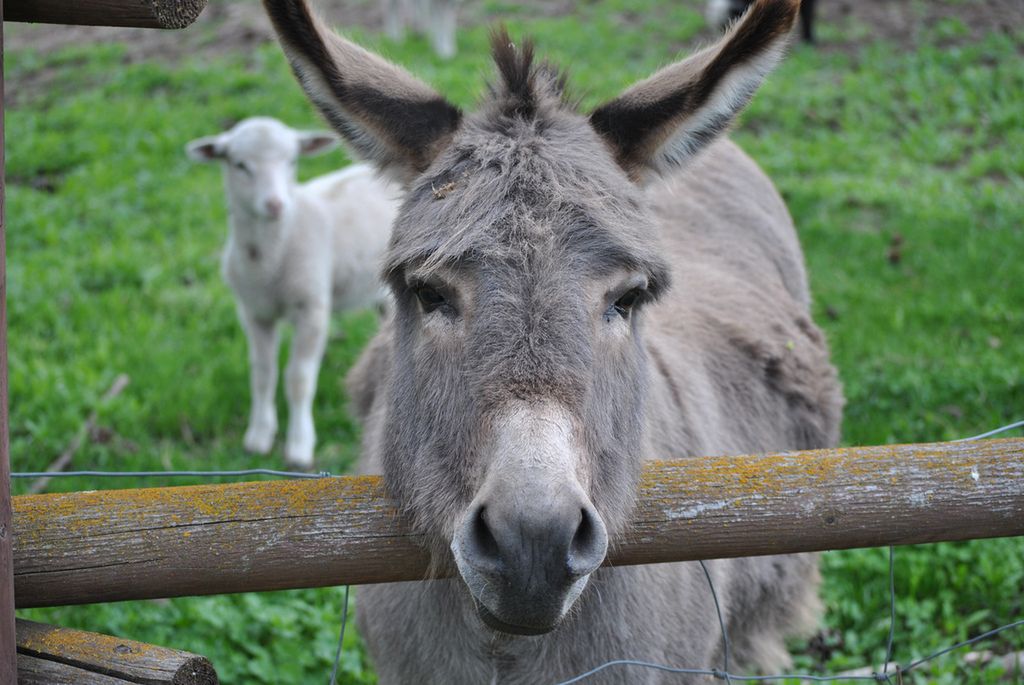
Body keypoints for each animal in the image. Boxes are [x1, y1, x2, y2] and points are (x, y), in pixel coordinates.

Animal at [186, 118, 397, 471]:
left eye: (292, 161)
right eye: (239, 164)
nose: (274, 204)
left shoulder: (312, 308)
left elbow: (298, 379)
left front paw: (299, 446)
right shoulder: (253, 312)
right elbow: (262, 372)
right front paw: (259, 435)